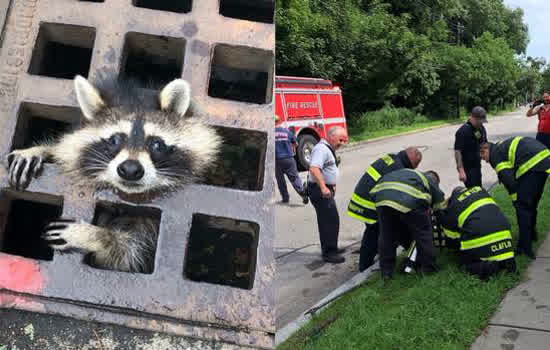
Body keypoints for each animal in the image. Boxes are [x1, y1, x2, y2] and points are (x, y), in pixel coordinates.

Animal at [5, 76, 223, 274]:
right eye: (115, 140)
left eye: (156, 144)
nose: (130, 170)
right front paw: (41, 150)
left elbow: (128, 253)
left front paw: (96, 235)